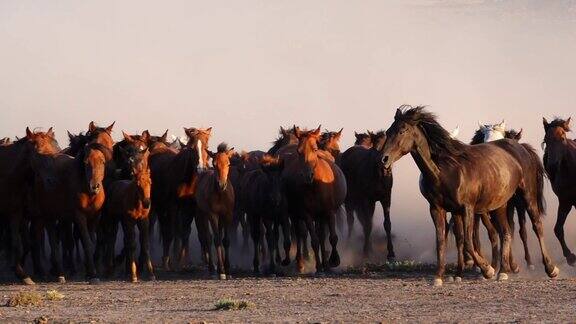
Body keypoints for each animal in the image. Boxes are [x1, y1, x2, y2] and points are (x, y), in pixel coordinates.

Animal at [197, 143, 235, 280]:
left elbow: (226, 240)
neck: (220, 195)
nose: (221, 184)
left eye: (228, 163)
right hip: (202, 215)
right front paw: (222, 271)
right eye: (214, 164)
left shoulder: (228, 214)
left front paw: (227, 269)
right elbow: (217, 239)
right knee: (208, 237)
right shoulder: (212, 215)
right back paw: (212, 269)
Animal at [280, 125, 344, 272]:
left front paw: (333, 261)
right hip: (296, 214)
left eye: (314, 149)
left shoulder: (329, 212)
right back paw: (300, 262)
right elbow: (314, 240)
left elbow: (332, 237)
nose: (307, 175)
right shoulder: (307, 215)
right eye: (299, 151)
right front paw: (319, 266)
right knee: (300, 234)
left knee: (321, 235)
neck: (315, 185)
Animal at [340, 130, 394, 260]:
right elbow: (367, 224)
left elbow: (387, 224)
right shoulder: (367, 200)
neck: (379, 175)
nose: (382, 160)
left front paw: (391, 252)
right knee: (351, 221)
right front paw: (366, 251)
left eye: (386, 143)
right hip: (350, 200)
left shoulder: (386, 198)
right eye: (374, 146)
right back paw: (348, 245)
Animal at [382, 106, 560, 286]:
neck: (444, 171)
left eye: (402, 130)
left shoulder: (467, 208)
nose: (384, 159)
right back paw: (503, 271)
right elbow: (444, 241)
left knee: (536, 226)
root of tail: (520, 147)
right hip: (500, 204)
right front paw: (439, 276)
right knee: (506, 232)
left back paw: (550, 268)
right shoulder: (438, 209)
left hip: (527, 196)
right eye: (389, 131)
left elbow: (468, 241)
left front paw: (487, 270)